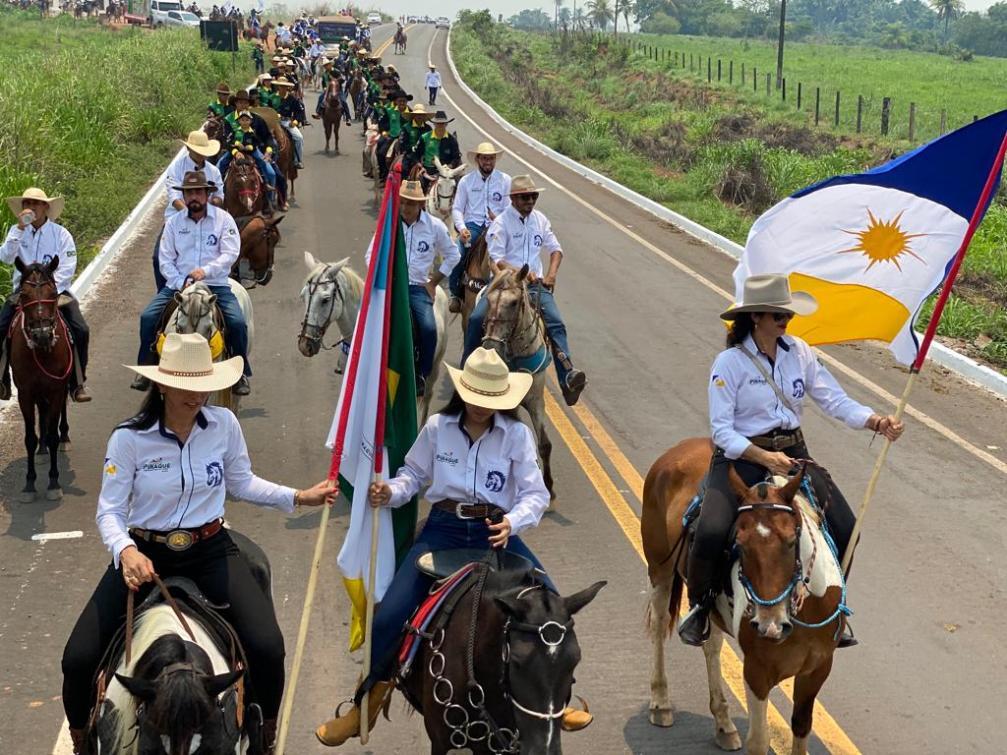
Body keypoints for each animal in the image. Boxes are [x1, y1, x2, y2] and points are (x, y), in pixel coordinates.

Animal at [9, 259, 72, 503]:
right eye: (23, 294)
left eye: (53, 293)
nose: (43, 334)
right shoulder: (25, 393)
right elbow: (29, 438)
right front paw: (29, 484)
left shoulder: (56, 389)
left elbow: (54, 435)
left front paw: (54, 483)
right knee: (42, 414)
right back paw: (42, 449)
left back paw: (64, 437)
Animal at [640, 442, 845, 755]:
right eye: (740, 544)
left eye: (791, 541)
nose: (769, 626)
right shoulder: (757, 672)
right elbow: (759, 741)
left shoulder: (817, 670)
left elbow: (801, 727)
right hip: (659, 570)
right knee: (660, 625)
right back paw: (661, 703)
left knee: (711, 646)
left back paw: (723, 724)